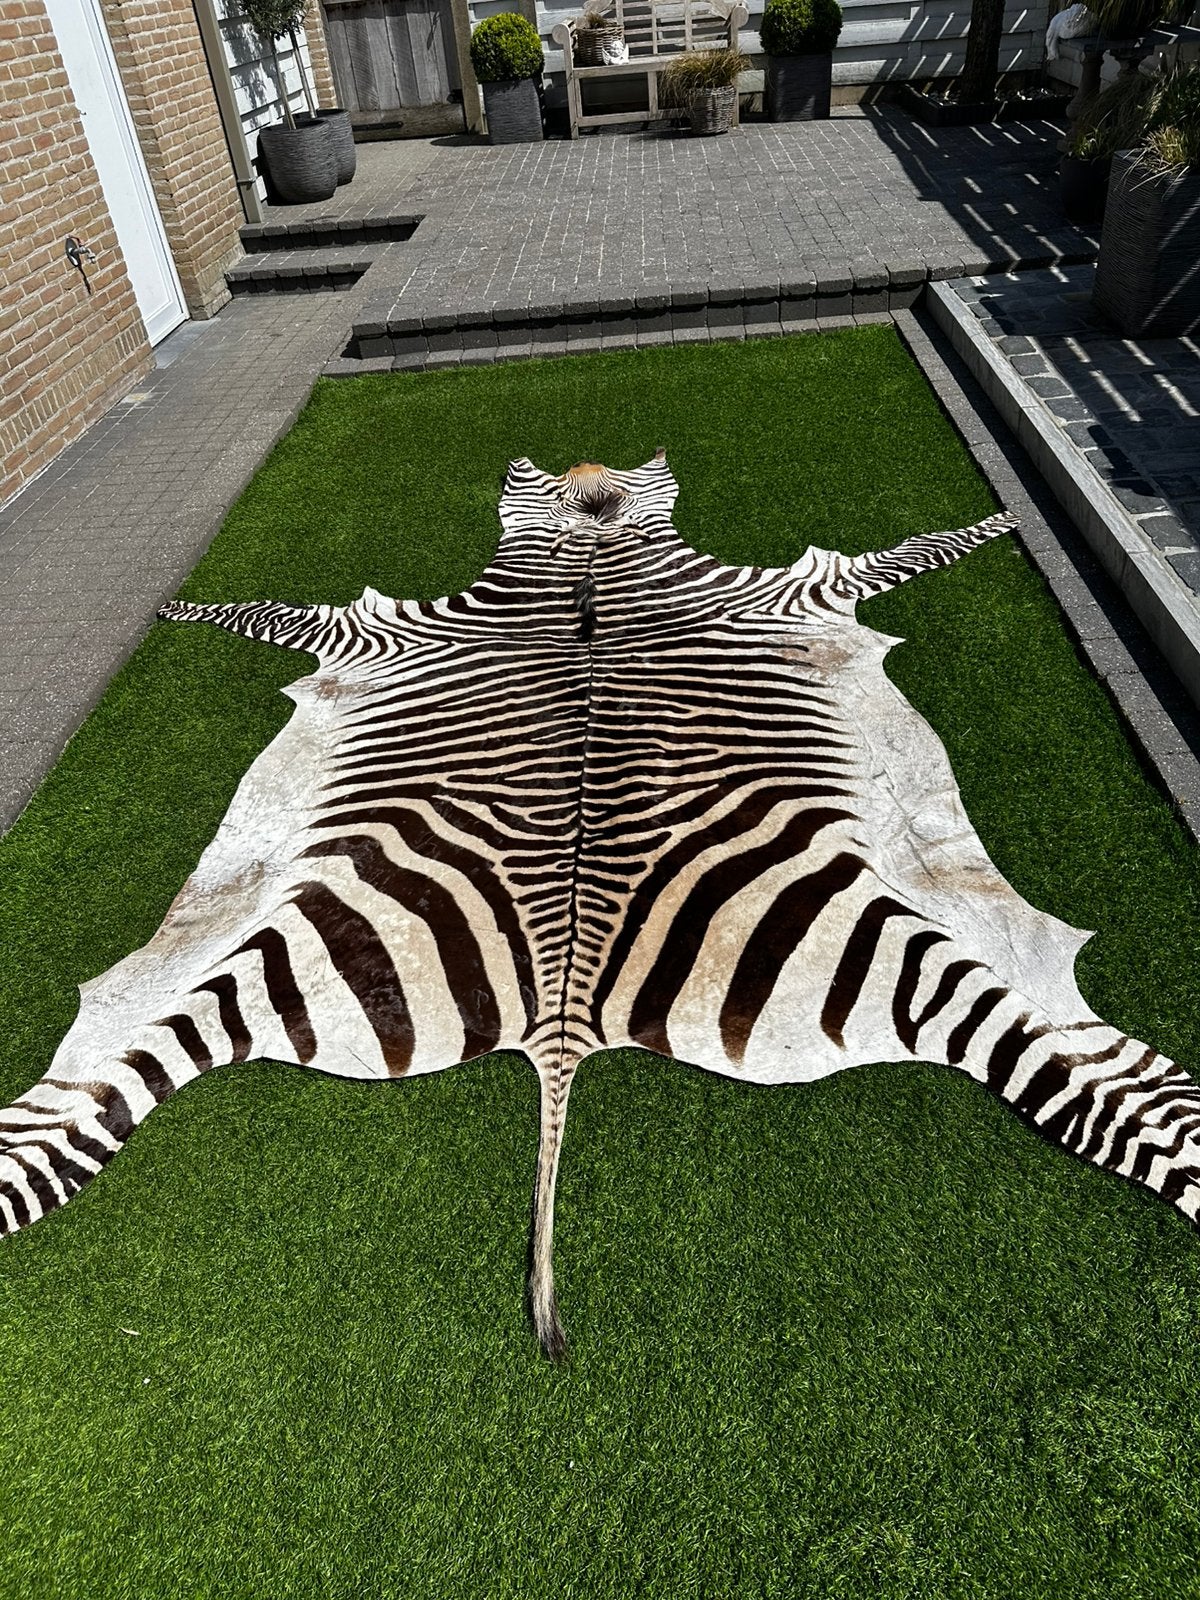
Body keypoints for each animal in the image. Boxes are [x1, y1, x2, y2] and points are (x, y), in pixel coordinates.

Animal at [2, 449, 1198, 1360]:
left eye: (609, 486)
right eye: (572, 490)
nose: (584, 472)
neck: (587, 572)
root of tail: (565, 1016)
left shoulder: (402, 633)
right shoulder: (393, 630)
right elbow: (911, 550)